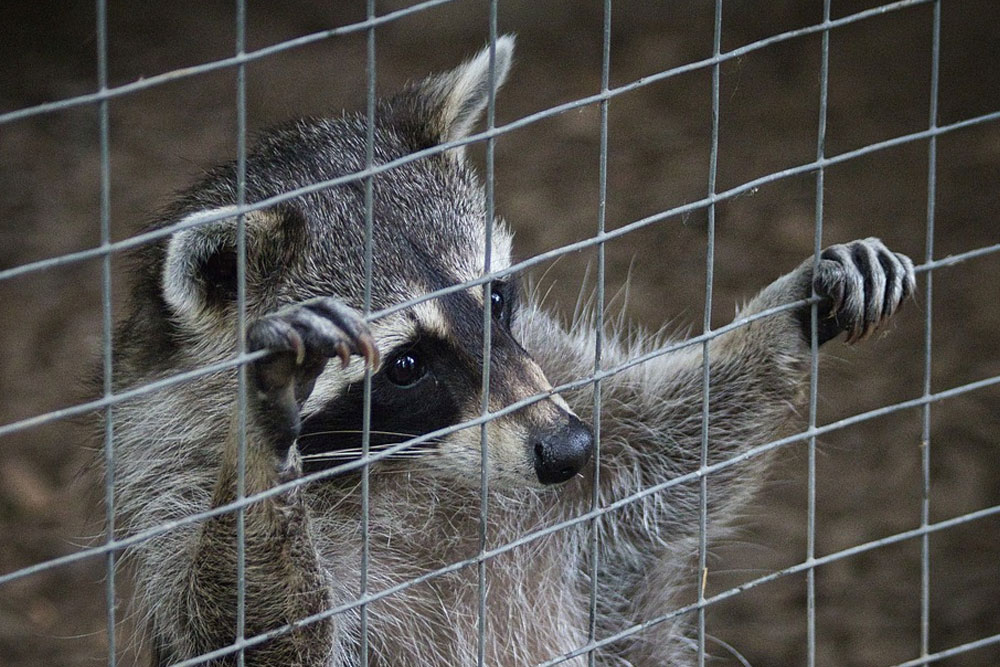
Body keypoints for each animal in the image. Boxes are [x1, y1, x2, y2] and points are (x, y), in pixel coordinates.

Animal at [107, 39, 916, 664]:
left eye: (495, 298)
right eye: (406, 364)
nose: (568, 448)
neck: (413, 465)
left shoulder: (555, 387)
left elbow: (674, 449)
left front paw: (786, 313)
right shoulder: (166, 486)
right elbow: (250, 635)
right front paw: (258, 442)